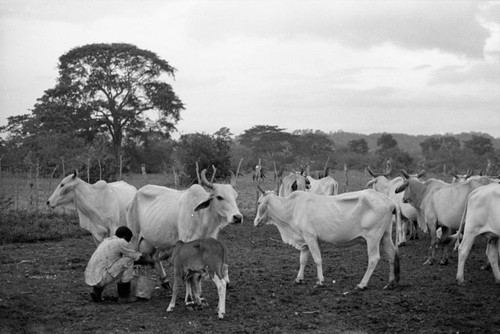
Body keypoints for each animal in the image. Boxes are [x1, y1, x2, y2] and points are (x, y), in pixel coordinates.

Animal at [254, 185, 398, 290]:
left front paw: (320, 281)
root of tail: (389, 201)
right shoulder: (304, 240)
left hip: (373, 237)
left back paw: (362, 284)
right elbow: (303, 260)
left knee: (374, 258)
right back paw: (391, 282)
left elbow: (317, 259)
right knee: (391, 254)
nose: (255, 221)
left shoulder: (310, 237)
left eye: (259, 202)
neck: (292, 208)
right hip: (385, 235)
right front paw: (299, 279)